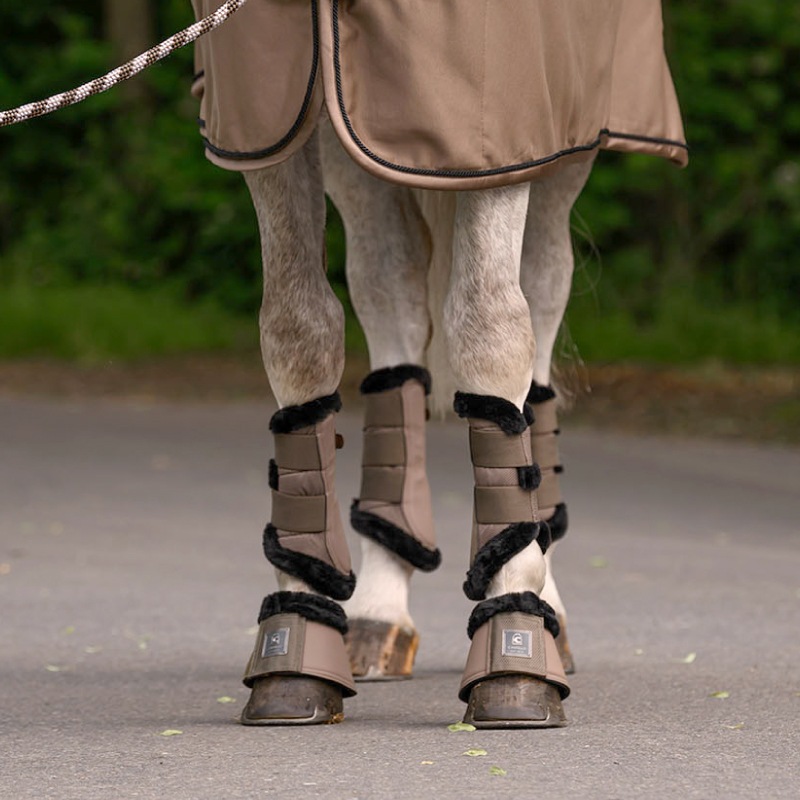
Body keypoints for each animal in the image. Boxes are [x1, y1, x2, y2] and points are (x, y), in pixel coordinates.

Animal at [190, 0, 687, 728]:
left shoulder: (503, 134)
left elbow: (489, 325)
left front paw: (515, 639)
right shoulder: (274, 115)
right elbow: (296, 325)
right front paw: (298, 631)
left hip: (565, 146)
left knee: (535, 312)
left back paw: (547, 609)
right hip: (355, 138)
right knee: (388, 295)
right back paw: (377, 613)